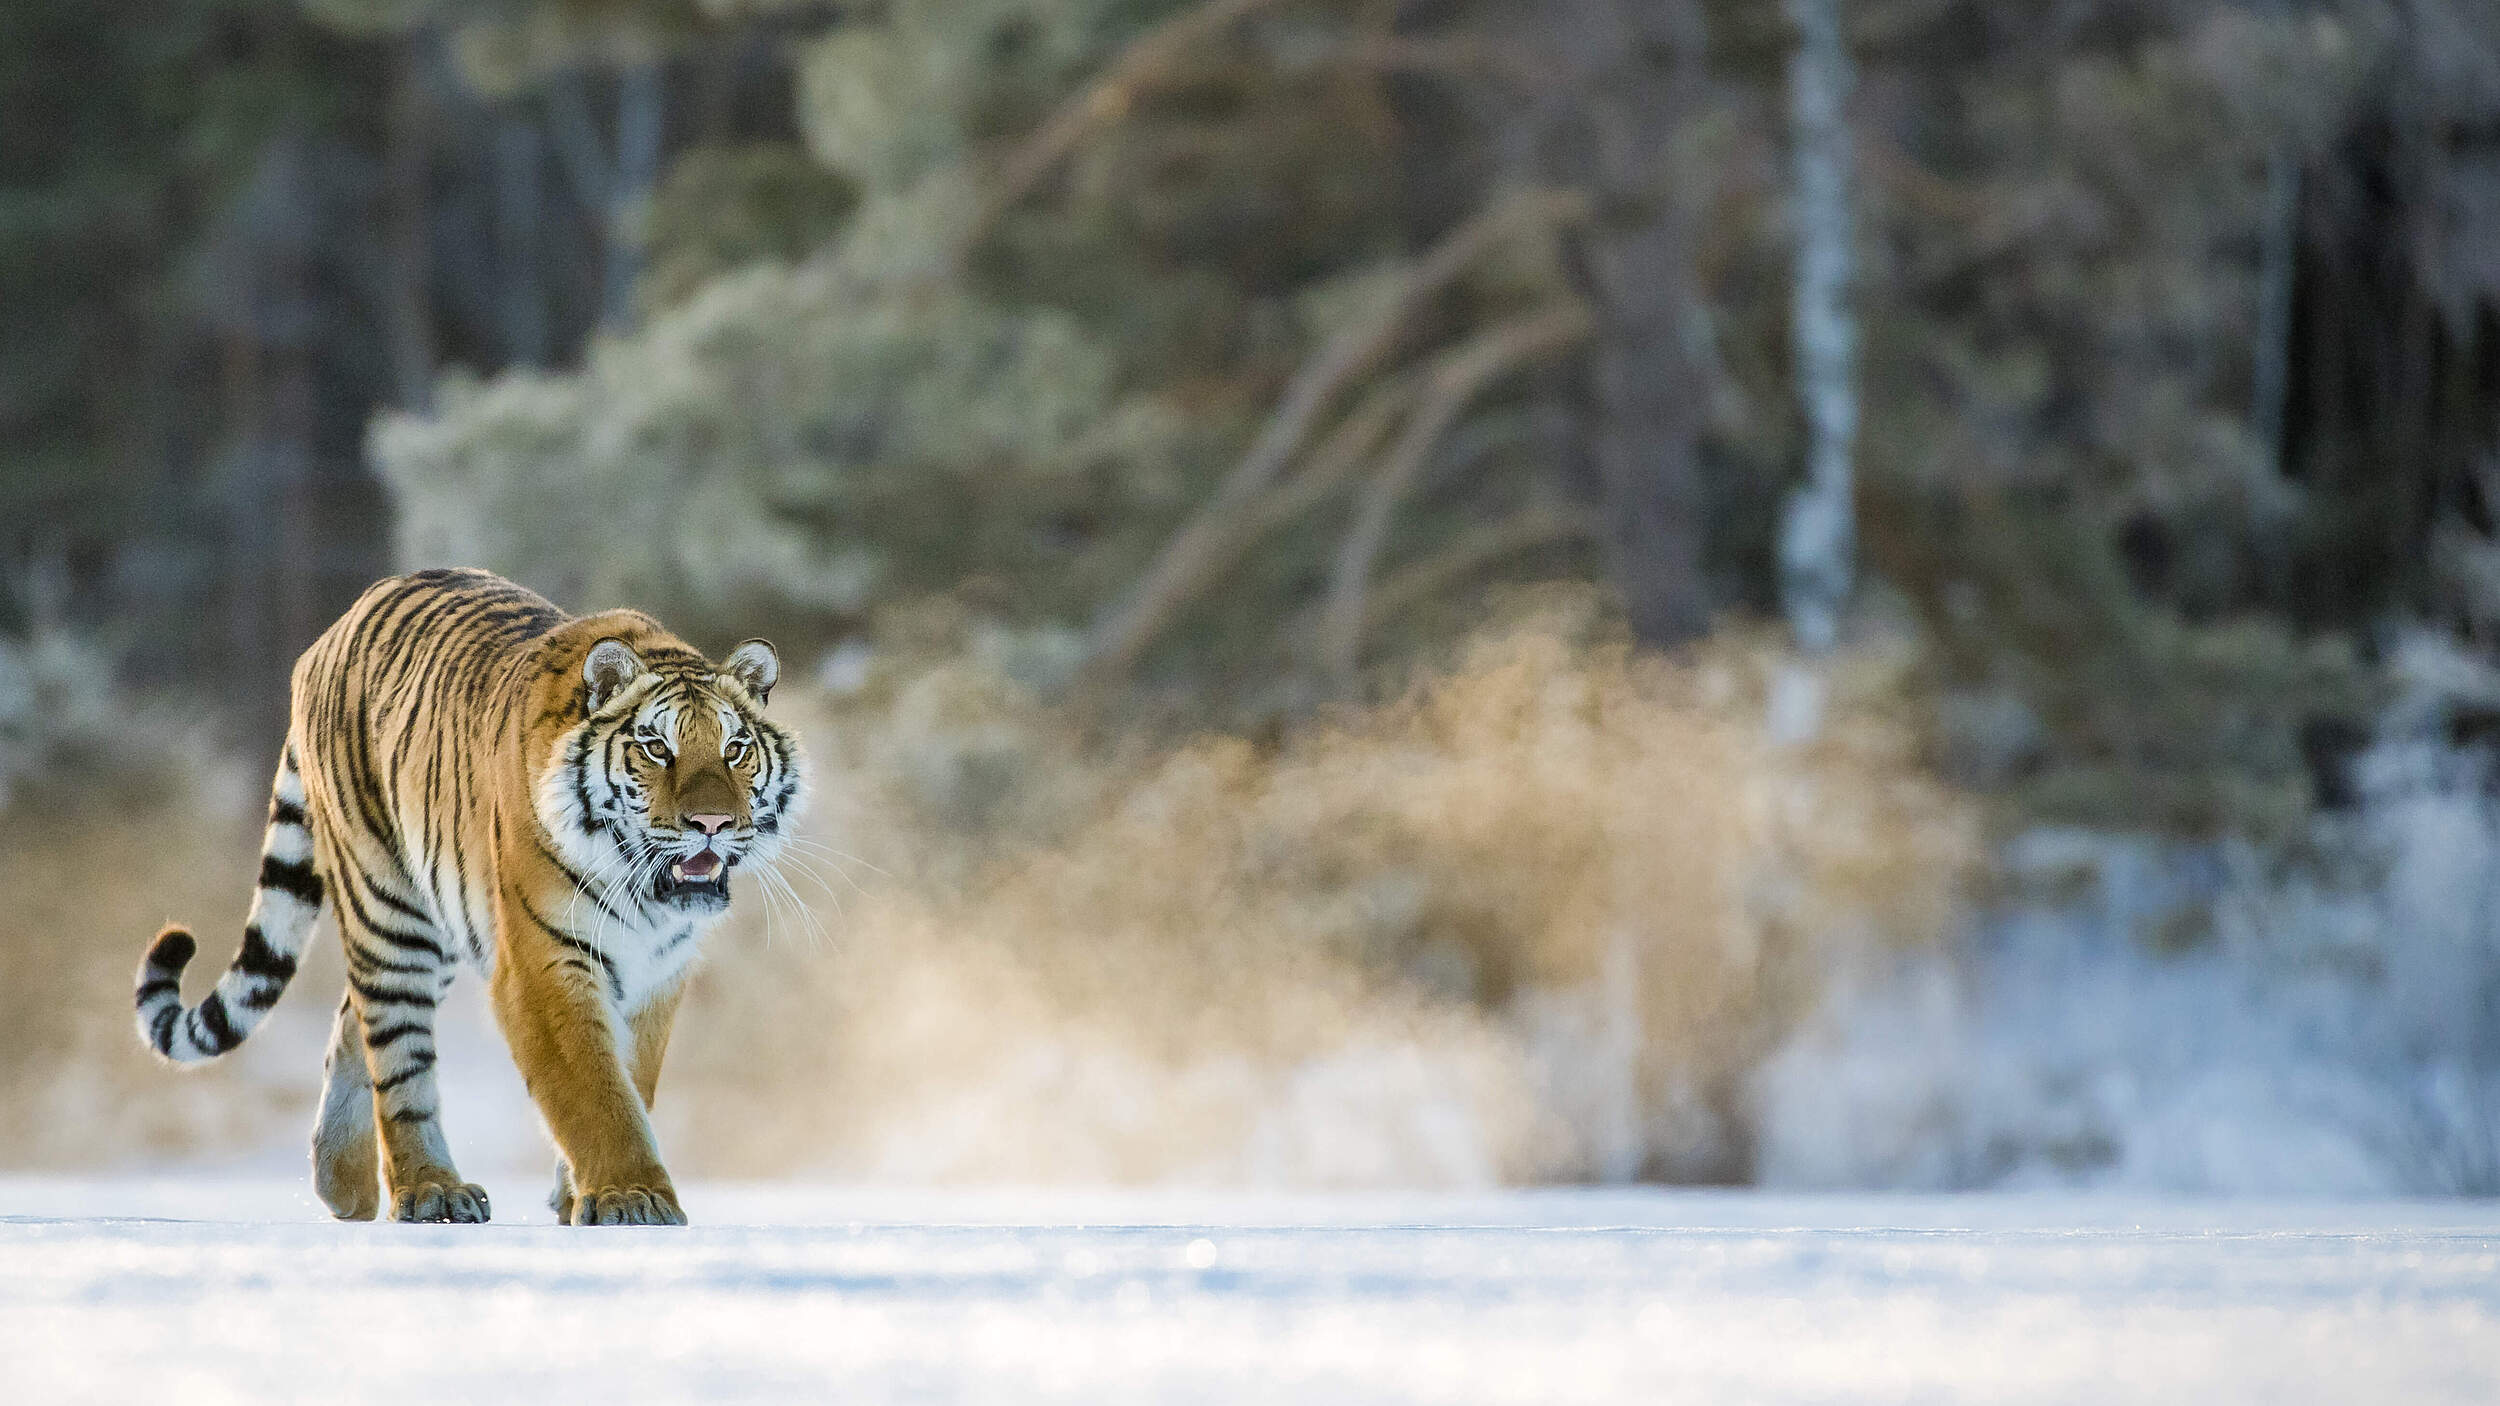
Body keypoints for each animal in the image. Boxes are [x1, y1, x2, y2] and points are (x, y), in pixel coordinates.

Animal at [132, 567, 805, 1225]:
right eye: (656, 747)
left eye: (735, 749)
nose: (712, 823)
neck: (648, 899)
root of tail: (330, 632)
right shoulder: (542, 964)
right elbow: (596, 1091)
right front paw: (633, 1194)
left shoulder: (658, 973)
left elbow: (633, 1081)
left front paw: (580, 1198)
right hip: (390, 911)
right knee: (395, 1059)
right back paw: (430, 1190)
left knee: (352, 1019)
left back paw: (341, 1184)